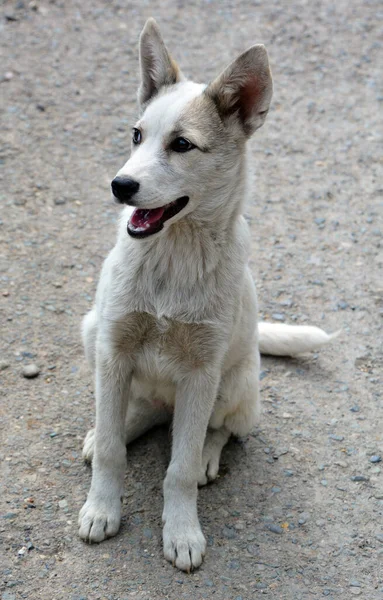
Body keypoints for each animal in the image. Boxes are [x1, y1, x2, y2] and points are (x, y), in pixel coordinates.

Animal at [77, 19, 336, 572]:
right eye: (136, 135)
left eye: (182, 145)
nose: (119, 185)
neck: (173, 255)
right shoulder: (113, 350)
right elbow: (111, 449)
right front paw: (101, 509)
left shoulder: (200, 372)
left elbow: (176, 471)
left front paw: (182, 532)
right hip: (93, 333)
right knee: (141, 412)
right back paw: (120, 425)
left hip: (237, 386)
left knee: (216, 432)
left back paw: (205, 458)